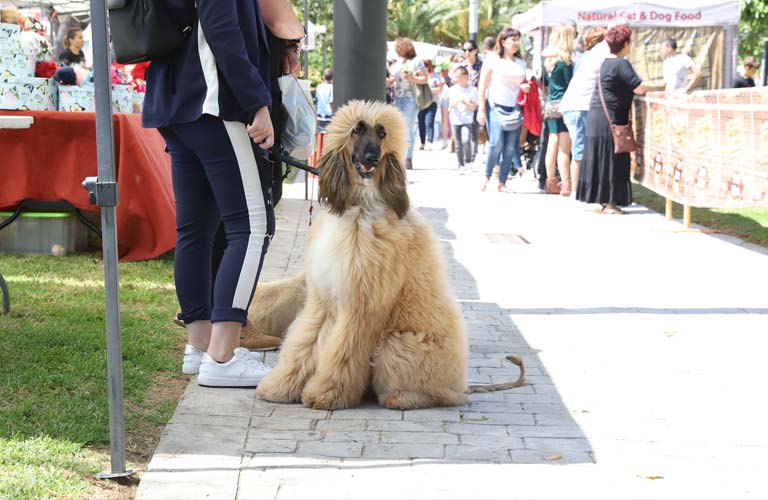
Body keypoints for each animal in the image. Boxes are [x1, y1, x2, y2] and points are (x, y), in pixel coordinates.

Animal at [252, 101, 520, 410]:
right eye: (357, 129)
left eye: (382, 133)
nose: (372, 157)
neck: (360, 207)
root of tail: (462, 385)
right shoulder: (322, 298)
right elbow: (305, 342)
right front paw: (281, 386)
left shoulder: (362, 304)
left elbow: (342, 352)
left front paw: (327, 393)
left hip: (398, 342)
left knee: (431, 391)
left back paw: (403, 397)